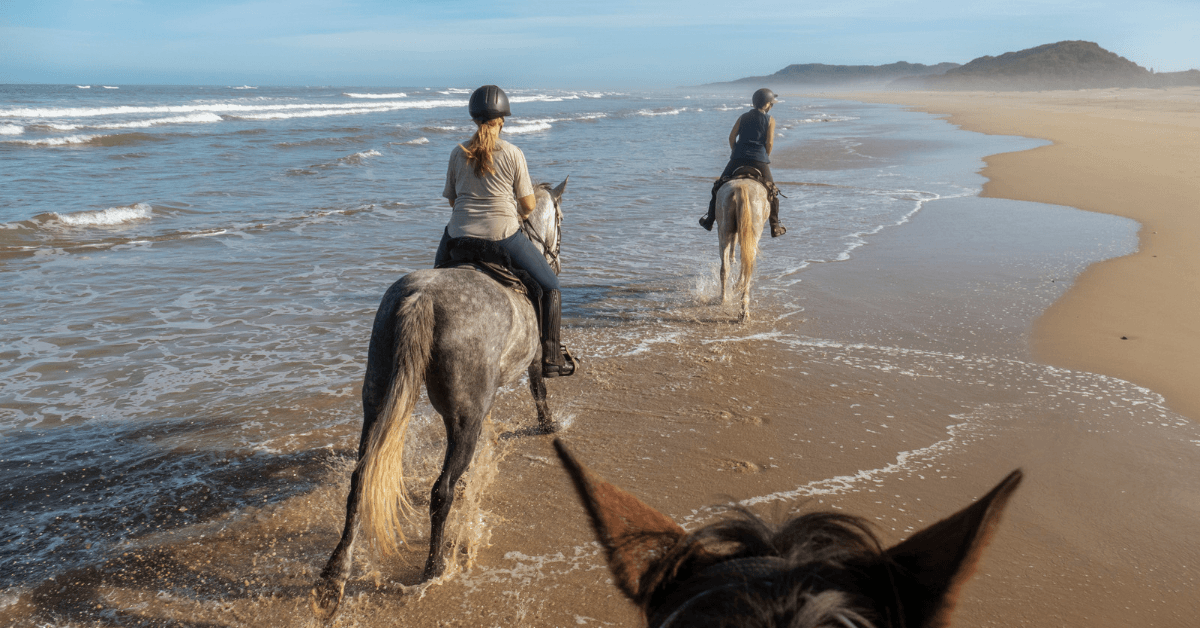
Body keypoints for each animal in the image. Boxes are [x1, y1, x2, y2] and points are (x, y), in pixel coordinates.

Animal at [310, 178, 568, 619]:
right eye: (562, 220)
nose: (556, 259)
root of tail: (422, 298)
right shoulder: (534, 360)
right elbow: (540, 390)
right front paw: (548, 425)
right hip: (465, 417)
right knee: (440, 490)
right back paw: (433, 566)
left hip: (377, 399)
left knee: (360, 481)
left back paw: (335, 574)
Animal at [715, 178, 769, 322]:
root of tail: (741, 187)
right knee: (746, 269)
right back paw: (743, 310)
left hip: (725, 229)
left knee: (725, 268)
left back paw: (724, 299)